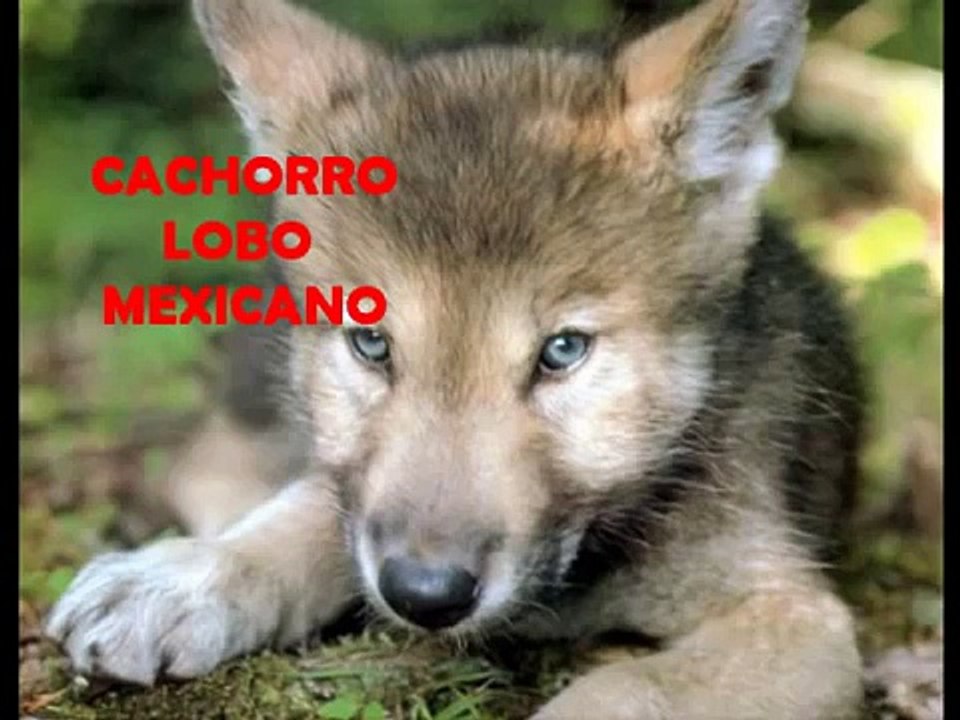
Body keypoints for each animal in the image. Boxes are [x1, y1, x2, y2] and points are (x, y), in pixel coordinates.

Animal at [46, 0, 866, 717]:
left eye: (562, 352)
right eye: (371, 342)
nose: (425, 594)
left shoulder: (801, 622)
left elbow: (622, 690)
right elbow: (321, 508)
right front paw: (192, 575)